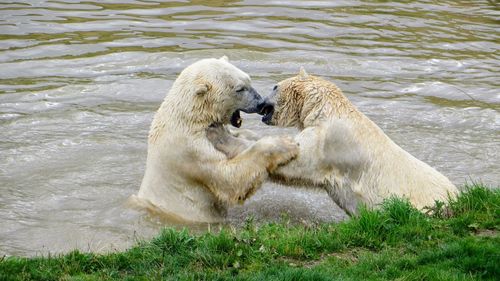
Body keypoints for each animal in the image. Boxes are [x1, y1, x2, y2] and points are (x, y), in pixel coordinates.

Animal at [133, 57, 298, 222]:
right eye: (240, 89)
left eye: (249, 80)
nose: (261, 103)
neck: (189, 117)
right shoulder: (191, 149)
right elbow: (229, 178)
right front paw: (284, 144)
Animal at [209, 68, 458, 214]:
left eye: (274, 86)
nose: (261, 103)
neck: (327, 110)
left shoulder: (330, 141)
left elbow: (298, 160)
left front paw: (218, 133)